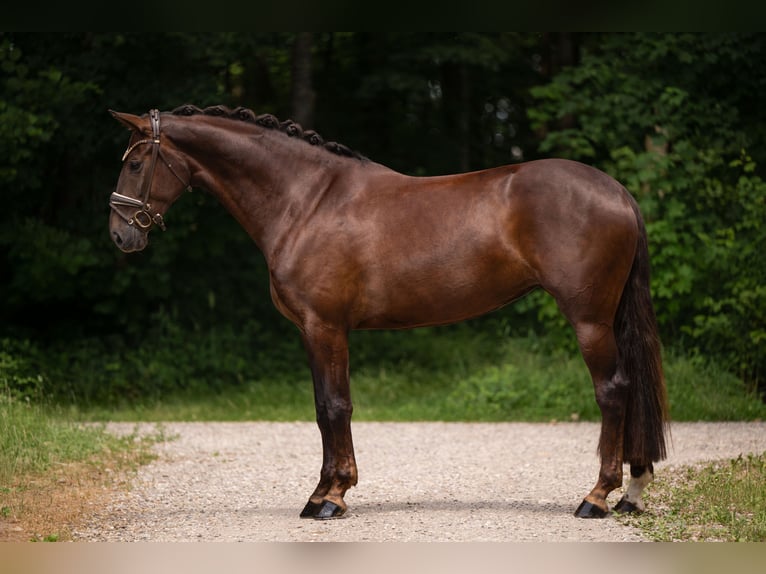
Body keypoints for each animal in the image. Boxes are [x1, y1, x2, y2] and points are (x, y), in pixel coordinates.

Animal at [108, 105, 670, 520]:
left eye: (135, 163)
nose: (119, 235)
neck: (306, 202)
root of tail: (617, 191)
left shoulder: (325, 327)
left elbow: (335, 406)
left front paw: (331, 498)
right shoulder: (313, 332)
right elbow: (322, 407)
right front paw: (324, 492)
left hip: (590, 321)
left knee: (613, 391)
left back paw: (597, 497)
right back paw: (631, 492)